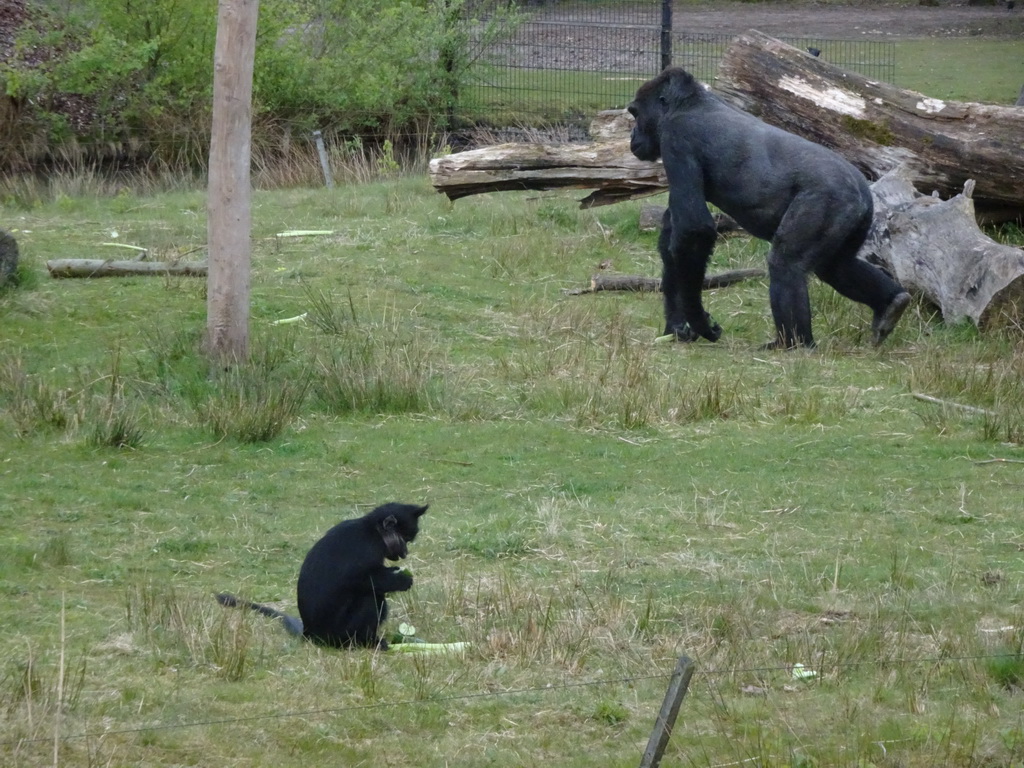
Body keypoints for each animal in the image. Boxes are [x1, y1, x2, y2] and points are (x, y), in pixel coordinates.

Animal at [622, 66, 913, 348]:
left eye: (635, 114)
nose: (632, 135)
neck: (687, 104)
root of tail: (862, 188)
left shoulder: (676, 139)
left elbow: (694, 230)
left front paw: (699, 321)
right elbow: (674, 237)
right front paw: (678, 328)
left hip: (830, 199)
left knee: (786, 263)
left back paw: (794, 343)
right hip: (856, 214)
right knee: (836, 266)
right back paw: (891, 305)